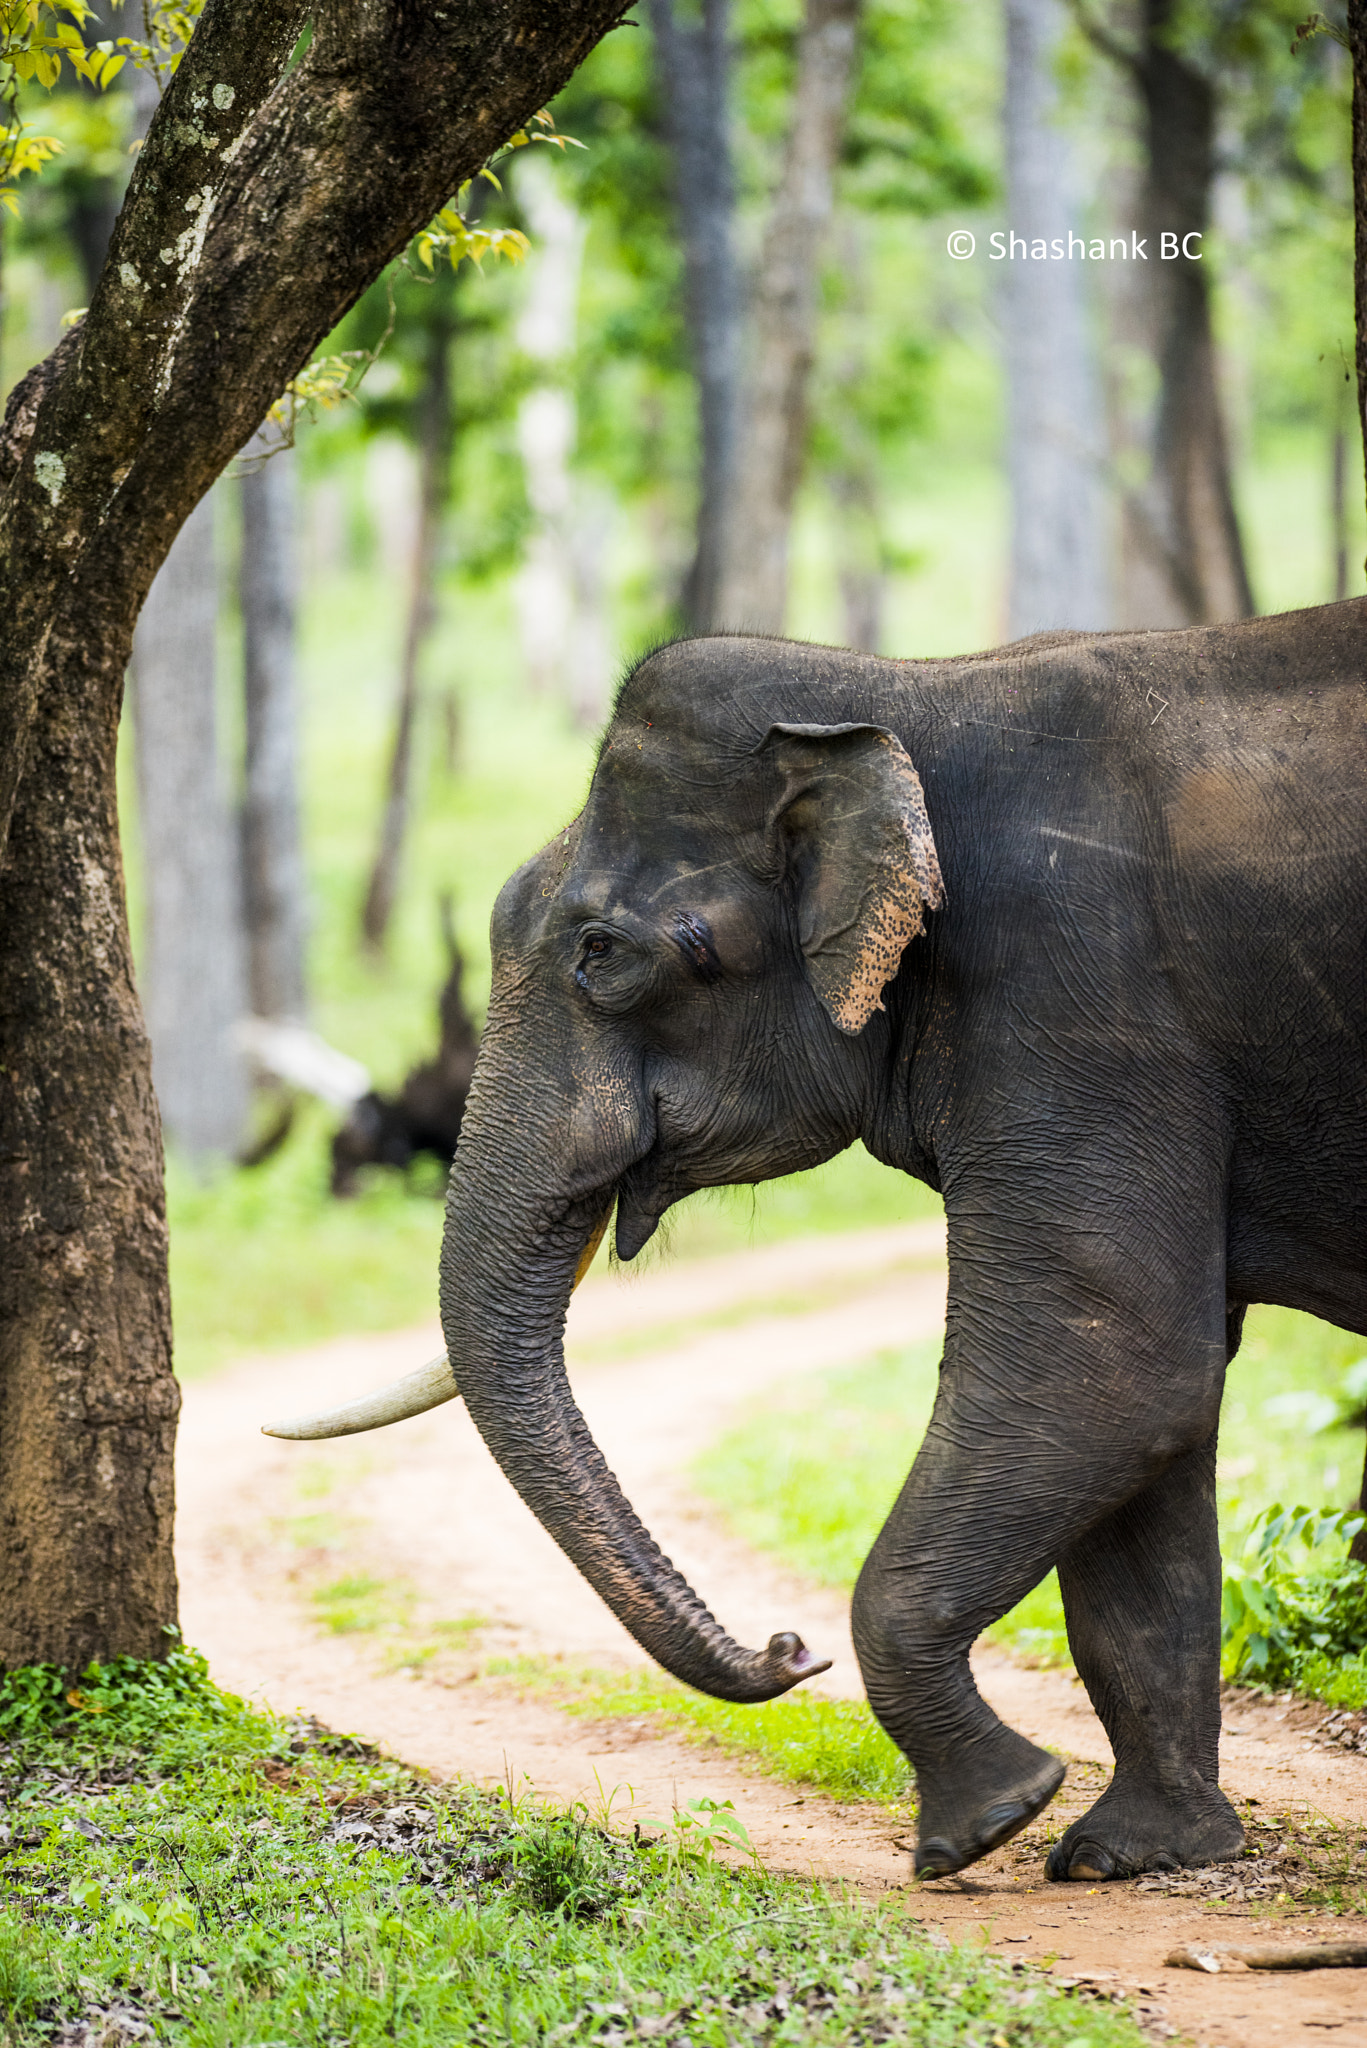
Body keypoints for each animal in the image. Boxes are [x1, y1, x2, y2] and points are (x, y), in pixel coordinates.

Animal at [272, 602, 1367, 1884]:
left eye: (601, 954)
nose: (786, 1646)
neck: (896, 692)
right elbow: (1155, 1410)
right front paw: (1127, 1852)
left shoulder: (1076, 1003)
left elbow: (1109, 1369)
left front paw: (982, 1823)